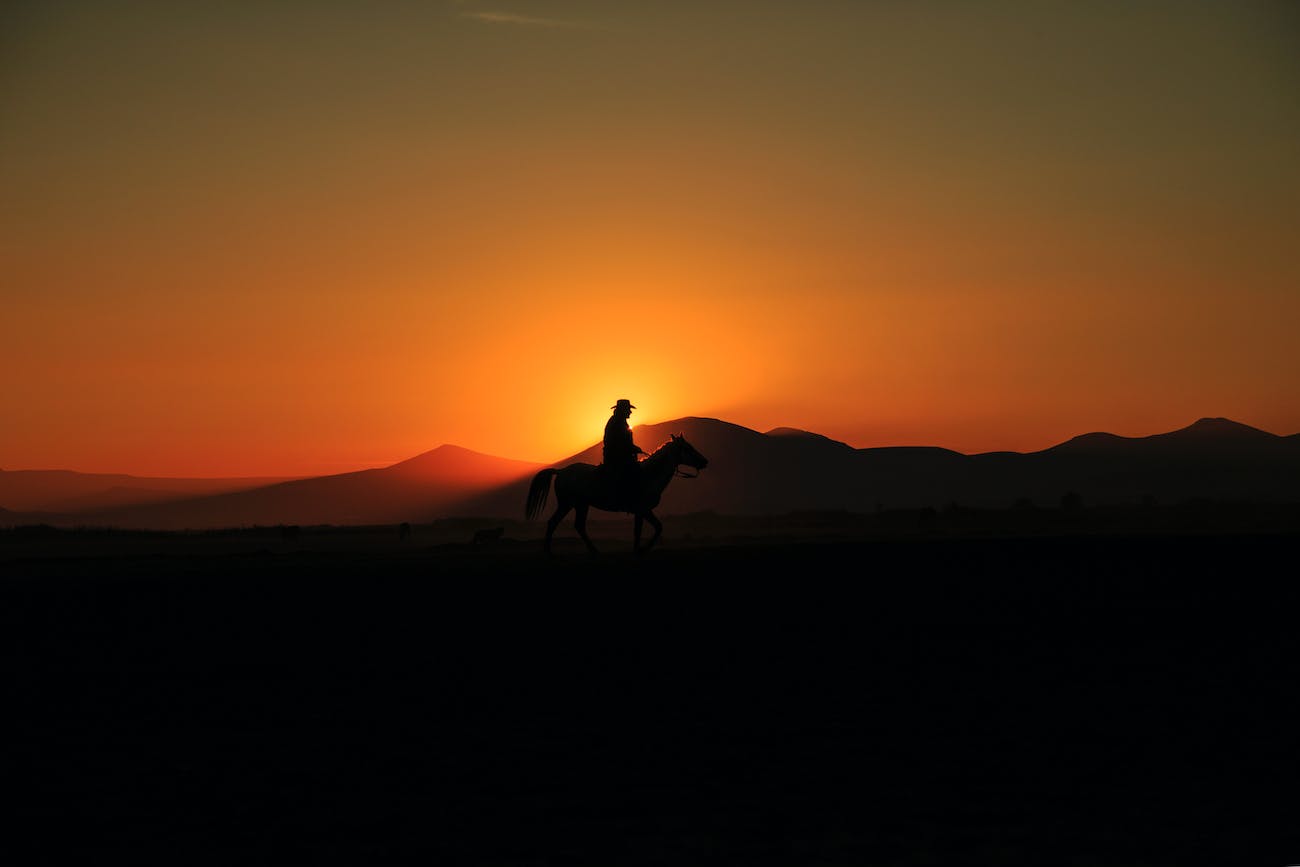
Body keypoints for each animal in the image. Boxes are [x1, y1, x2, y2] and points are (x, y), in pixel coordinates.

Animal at [525, 434, 712, 556]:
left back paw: (595, 551)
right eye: (688, 448)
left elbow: (654, 528)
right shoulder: (642, 510)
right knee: (553, 522)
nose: (704, 461)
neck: (649, 475)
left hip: (581, 505)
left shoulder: (643, 511)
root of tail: (561, 471)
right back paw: (548, 552)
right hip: (567, 503)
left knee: (579, 526)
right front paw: (640, 550)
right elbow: (644, 530)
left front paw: (640, 549)